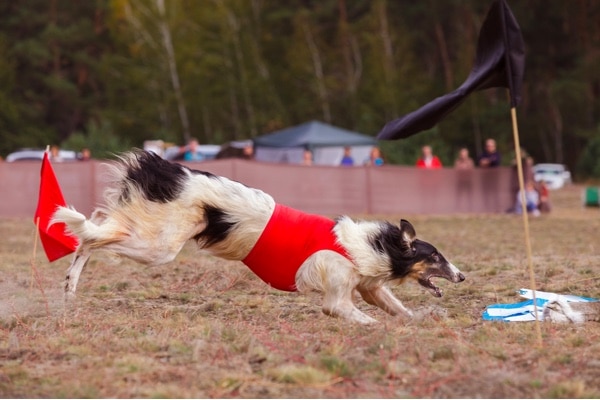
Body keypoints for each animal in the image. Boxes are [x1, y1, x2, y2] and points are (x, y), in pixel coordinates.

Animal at [51, 148, 466, 324]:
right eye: (436, 256)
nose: (463, 276)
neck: (371, 244)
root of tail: (168, 167)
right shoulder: (337, 296)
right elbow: (363, 317)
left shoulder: (368, 287)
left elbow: (398, 308)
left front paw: (423, 318)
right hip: (158, 246)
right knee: (89, 237)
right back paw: (70, 278)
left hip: (148, 229)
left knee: (98, 225)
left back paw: (70, 287)